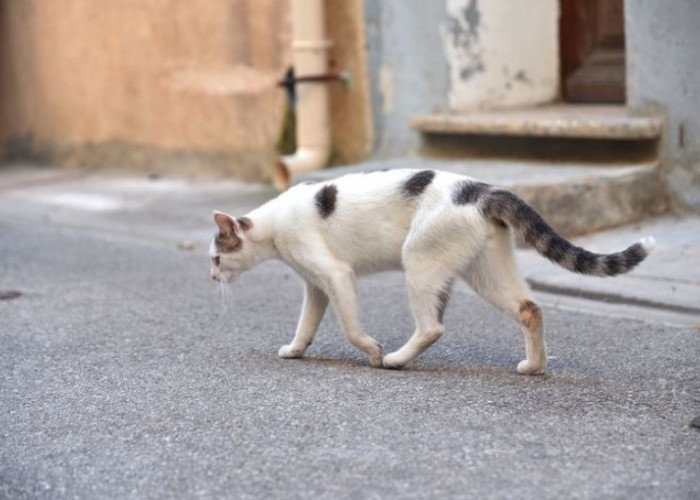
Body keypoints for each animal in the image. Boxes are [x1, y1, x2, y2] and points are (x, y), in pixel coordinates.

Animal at [209, 170, 656, 374]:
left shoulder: (335, 274)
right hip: (486, 270)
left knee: (432, 326)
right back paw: (534, 366)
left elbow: (351, 327)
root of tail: (483, 189)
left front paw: (373, 351)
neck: (273, 227)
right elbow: (306, 323)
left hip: (420, 259)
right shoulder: (316, 286)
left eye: (214, 257)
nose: (211, 278)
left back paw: (396, 359)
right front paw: (296, 349)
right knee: (530, 308)